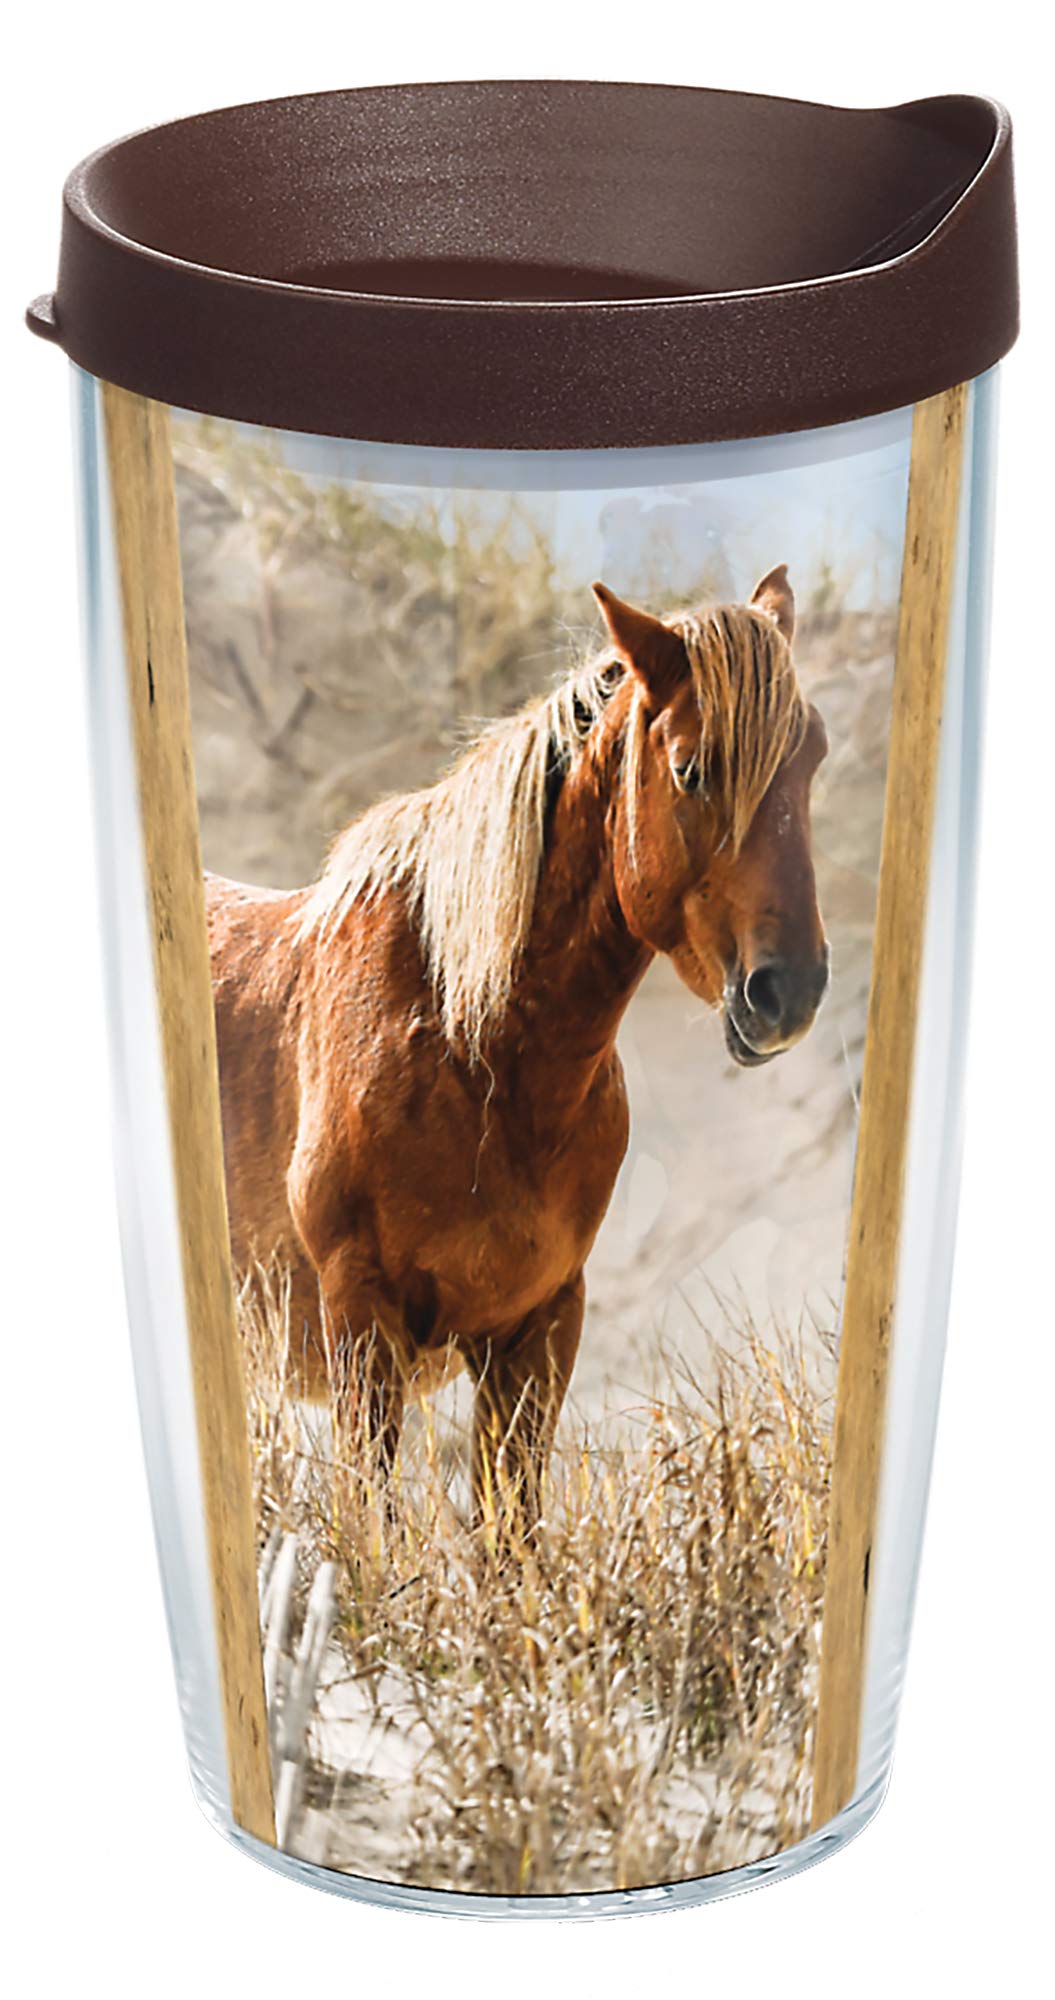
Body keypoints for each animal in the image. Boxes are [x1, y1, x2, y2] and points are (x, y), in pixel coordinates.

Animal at [207, 566, 829, 1522]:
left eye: (814, 758)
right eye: (689, 768)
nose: (787, 992)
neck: (470, 1050)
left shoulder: (536, 1331)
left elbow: (510, 1533)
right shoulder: (362, 1324)